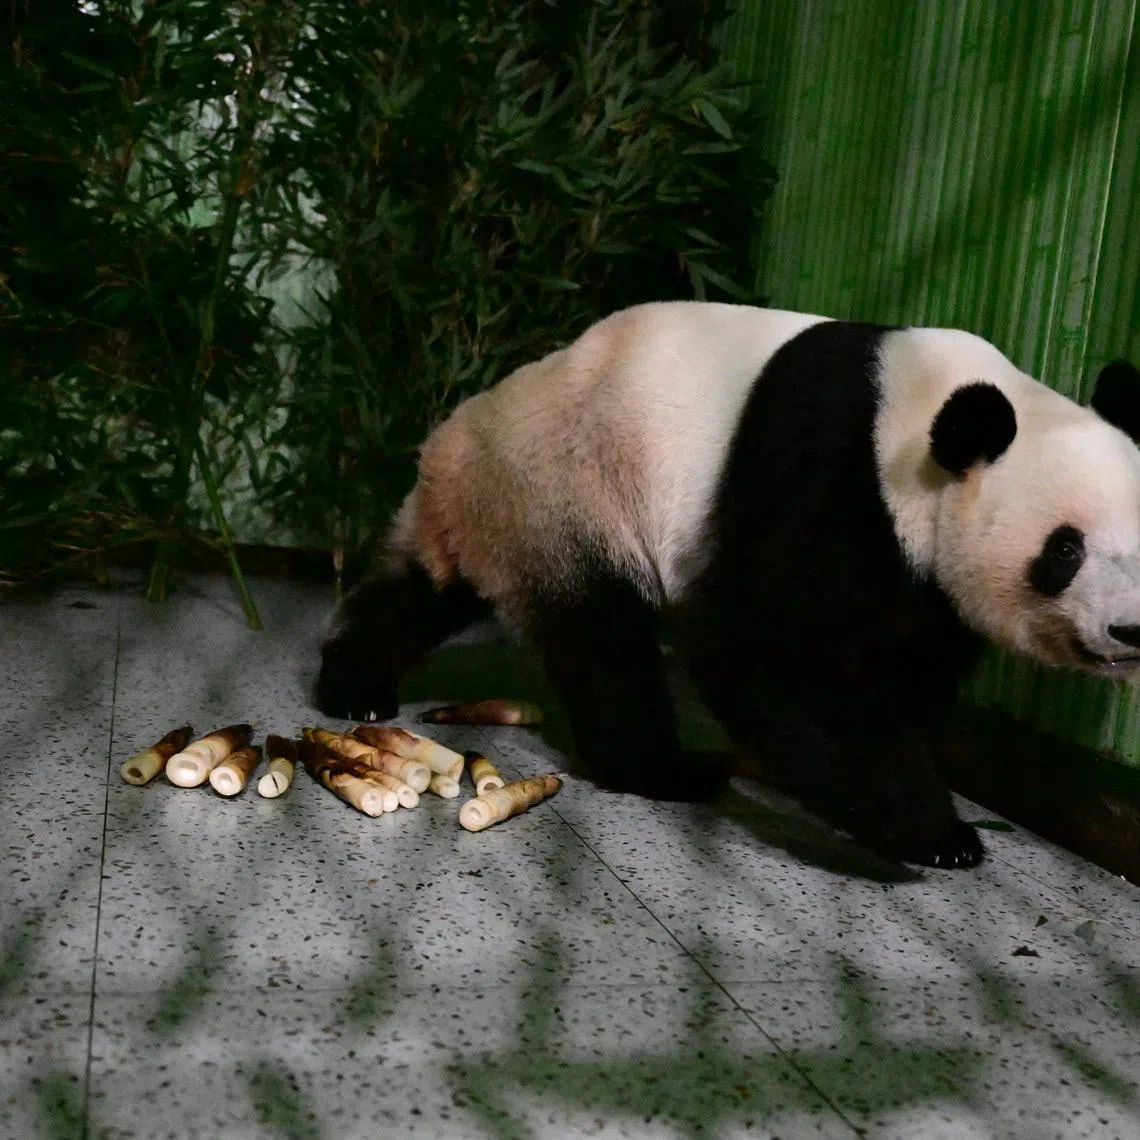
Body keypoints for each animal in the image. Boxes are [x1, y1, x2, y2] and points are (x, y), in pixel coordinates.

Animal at [315, 302, 1140, 869]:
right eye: (1066, 549)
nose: (1131, 632)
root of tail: (453, 440)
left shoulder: (923, 585)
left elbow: (900, 674)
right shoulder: (826, 470)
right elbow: (758, 648)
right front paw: (917, 823)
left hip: (501, 514)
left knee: (422, 593)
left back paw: (353, 685)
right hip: (567, 490)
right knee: (605, 639)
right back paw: (666, 768)